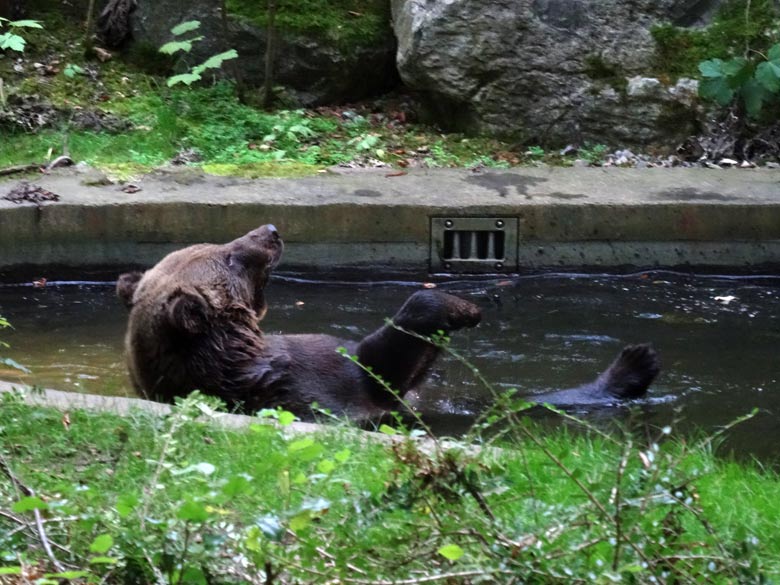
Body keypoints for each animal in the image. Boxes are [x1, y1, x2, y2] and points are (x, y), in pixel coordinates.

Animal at [116, 224, 660, 420]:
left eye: (217, 243)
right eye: (228, 257)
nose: (270, 230)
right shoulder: (317, 382)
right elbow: (380, 363)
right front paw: (462, 307)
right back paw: (634, 364)